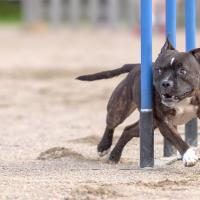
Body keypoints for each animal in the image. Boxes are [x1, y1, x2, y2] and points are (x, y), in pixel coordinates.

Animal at [76, 38, 200, 166]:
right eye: (159, 70)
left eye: (182, 71)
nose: (166, 83)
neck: (183, 100)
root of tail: (136, 66)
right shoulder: (164, 122)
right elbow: (177, 139)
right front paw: (189, 156)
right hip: (119, 109)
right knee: (111, 124)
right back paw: (104, 146)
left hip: (148, 124)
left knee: (128, 130)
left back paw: (114, 156)